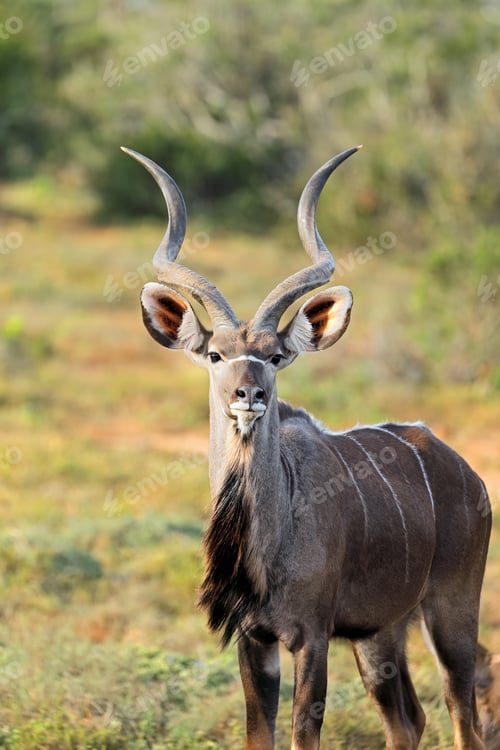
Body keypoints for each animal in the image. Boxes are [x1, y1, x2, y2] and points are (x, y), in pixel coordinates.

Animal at [123, 145, 492, 750]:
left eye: (274, 356)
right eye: (216, 355)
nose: (250, 394)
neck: (269, 541)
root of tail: (465, 470)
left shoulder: (311, 636)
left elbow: (304, 730)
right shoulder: (254, 638)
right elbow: (260, 732)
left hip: (450, 613)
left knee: (465, 711)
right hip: (380, 633)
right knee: (407, 719)